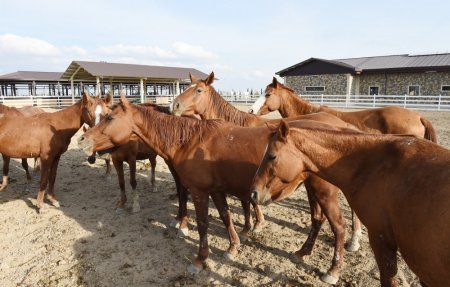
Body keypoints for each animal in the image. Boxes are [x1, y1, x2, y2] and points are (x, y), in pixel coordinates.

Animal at [77, 95, 366, 278]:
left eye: (110, 118)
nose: (83, 141)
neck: (189, 141)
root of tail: (343, 126)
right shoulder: (215, 190)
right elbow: (226, 216)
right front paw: (233, 247)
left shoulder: (199, 192)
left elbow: (204, 224)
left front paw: (200, 259)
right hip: (312, 188)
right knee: (318, 219)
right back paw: (302, 252)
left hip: (325, 191)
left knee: (338, 226)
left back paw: (333, 270)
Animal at [171, 72, 364, 284]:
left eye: (198, 90)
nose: (175, 105)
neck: (227, 132)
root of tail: (343, 126)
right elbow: (246, 202)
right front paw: (250, 228)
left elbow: (247, 203)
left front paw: (251, 227)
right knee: (319, 218)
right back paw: (306, 251)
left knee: (338, 223)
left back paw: (338, 262)